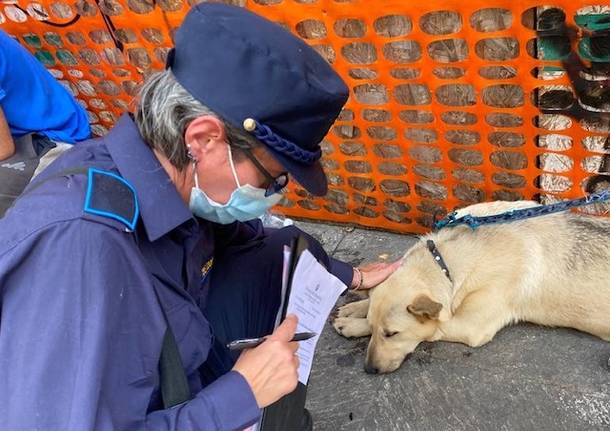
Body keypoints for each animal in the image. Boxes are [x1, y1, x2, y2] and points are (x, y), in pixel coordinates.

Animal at [332, 201, 608, 372]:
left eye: (392, 334)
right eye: (375, 328)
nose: (369, 369)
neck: (445, 262)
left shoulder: (472, 327)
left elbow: (433, 328)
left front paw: (352, 324)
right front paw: (357, 309)